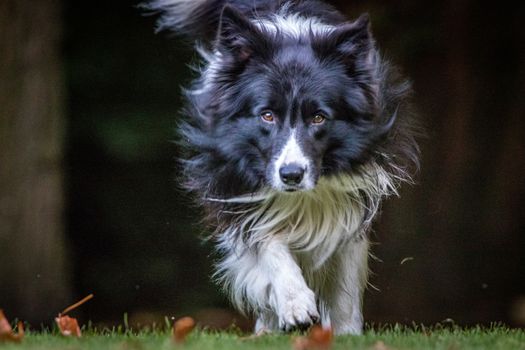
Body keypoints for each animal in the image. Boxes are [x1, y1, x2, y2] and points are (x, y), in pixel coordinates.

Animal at [143, 0, 418, 334]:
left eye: (318, 117)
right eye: (267, 115)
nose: (291, 175)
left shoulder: (357, 194)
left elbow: (345, 281)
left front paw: (346, 334)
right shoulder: (237, 191)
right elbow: (269, 243)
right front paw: (296, 305)